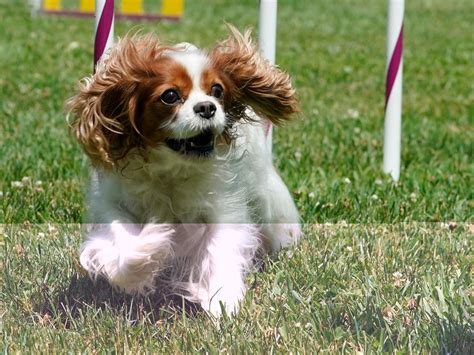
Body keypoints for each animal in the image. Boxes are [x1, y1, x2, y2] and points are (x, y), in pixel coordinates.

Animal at [67, 26, 300, 318]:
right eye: (170, 96)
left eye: (217, 90)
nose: (208, 107)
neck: (172, 168)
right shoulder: (112, 203)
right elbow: (123, 243)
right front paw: (152, 247)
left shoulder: (223, 205)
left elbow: (220, 248)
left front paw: (223, 302)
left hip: (263, 193)